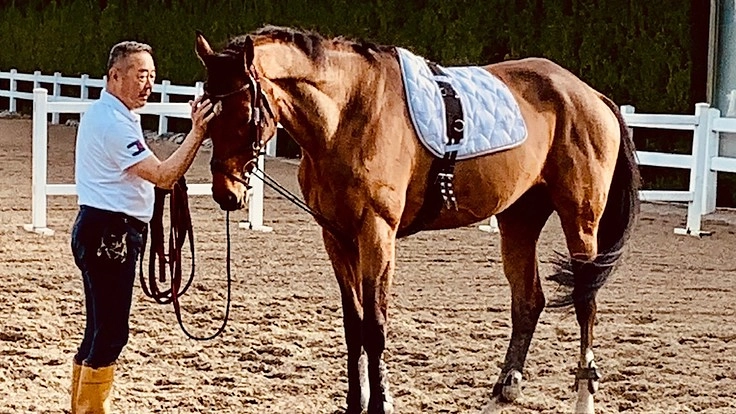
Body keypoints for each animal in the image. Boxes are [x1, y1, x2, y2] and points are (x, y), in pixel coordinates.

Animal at [194, 25, 639, 414]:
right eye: (206, 112)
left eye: (242, 113)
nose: (226, 194)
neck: (347, 113)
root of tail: (591, 95)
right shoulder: (336, 237)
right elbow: (353, 326)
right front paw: (356, 403)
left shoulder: (376, 233)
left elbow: (375, 327)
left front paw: (379, 404)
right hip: (519, 219)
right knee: (528, 302)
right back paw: (501, 394)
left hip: (580, 220)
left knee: (585, 302)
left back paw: (583, 399)